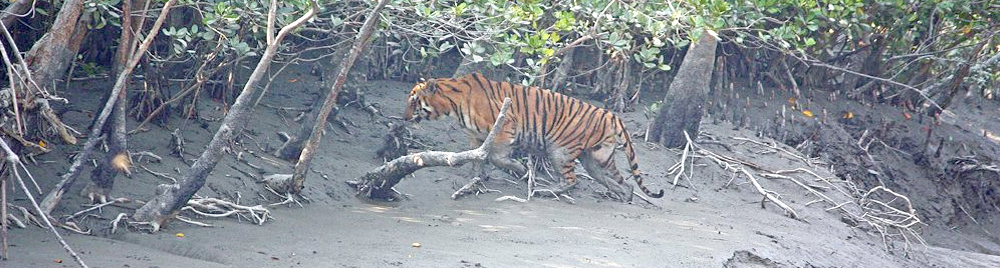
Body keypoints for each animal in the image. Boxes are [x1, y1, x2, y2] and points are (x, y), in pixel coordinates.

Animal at [398, 72, 664, 200]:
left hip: (560, 150)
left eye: (412, 102)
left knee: (572, 180)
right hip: (597, 158)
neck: (452, 105)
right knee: (624, 183)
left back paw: (544, 192)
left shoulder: (505, 126)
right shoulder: (475, 137)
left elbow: (496, 157)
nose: (404, 117)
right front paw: (476, 180)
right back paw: (623, 197)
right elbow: (477, 160)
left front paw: (519, 170)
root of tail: (612, 115)